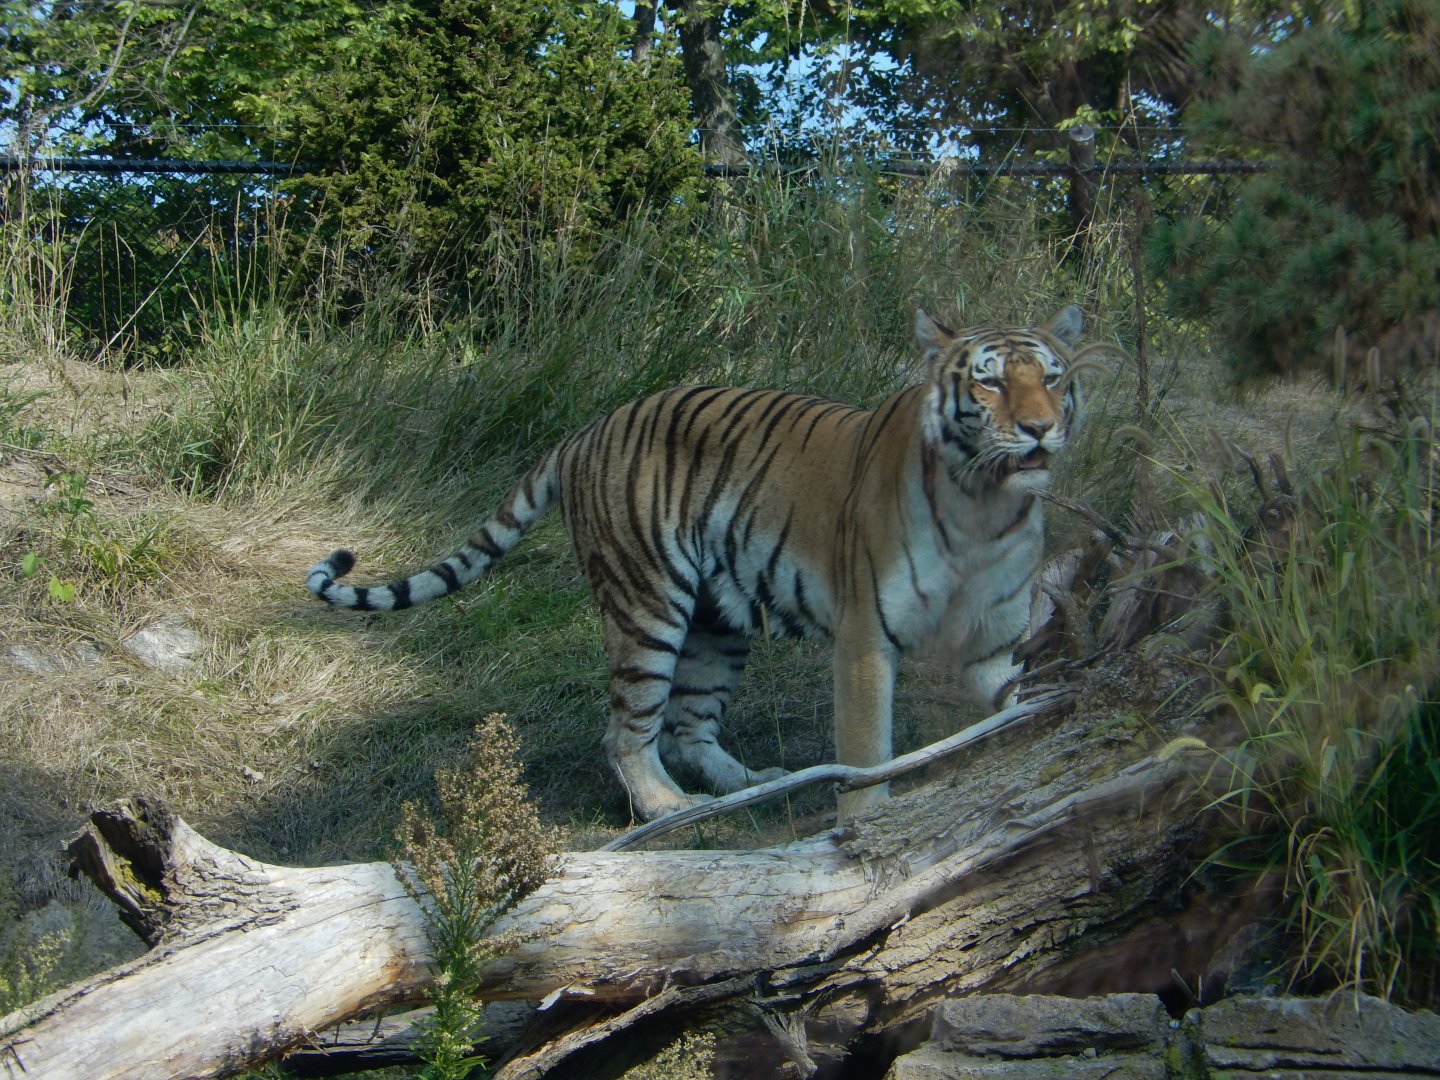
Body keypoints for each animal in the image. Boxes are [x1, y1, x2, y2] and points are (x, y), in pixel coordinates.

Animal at [307, 304, 1085, 822]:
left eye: (1051, 377)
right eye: (988, 384)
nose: (1040, 428)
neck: (984, 504)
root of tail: (585, 430)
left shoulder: (996, 641)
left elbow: (1024, 700)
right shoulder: (867, 639)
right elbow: (868, 757)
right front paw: (872, 831)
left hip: (718, 618)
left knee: (689, 726)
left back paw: (750, 784)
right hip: (648, 604)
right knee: (628, 729)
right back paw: (666, 809)